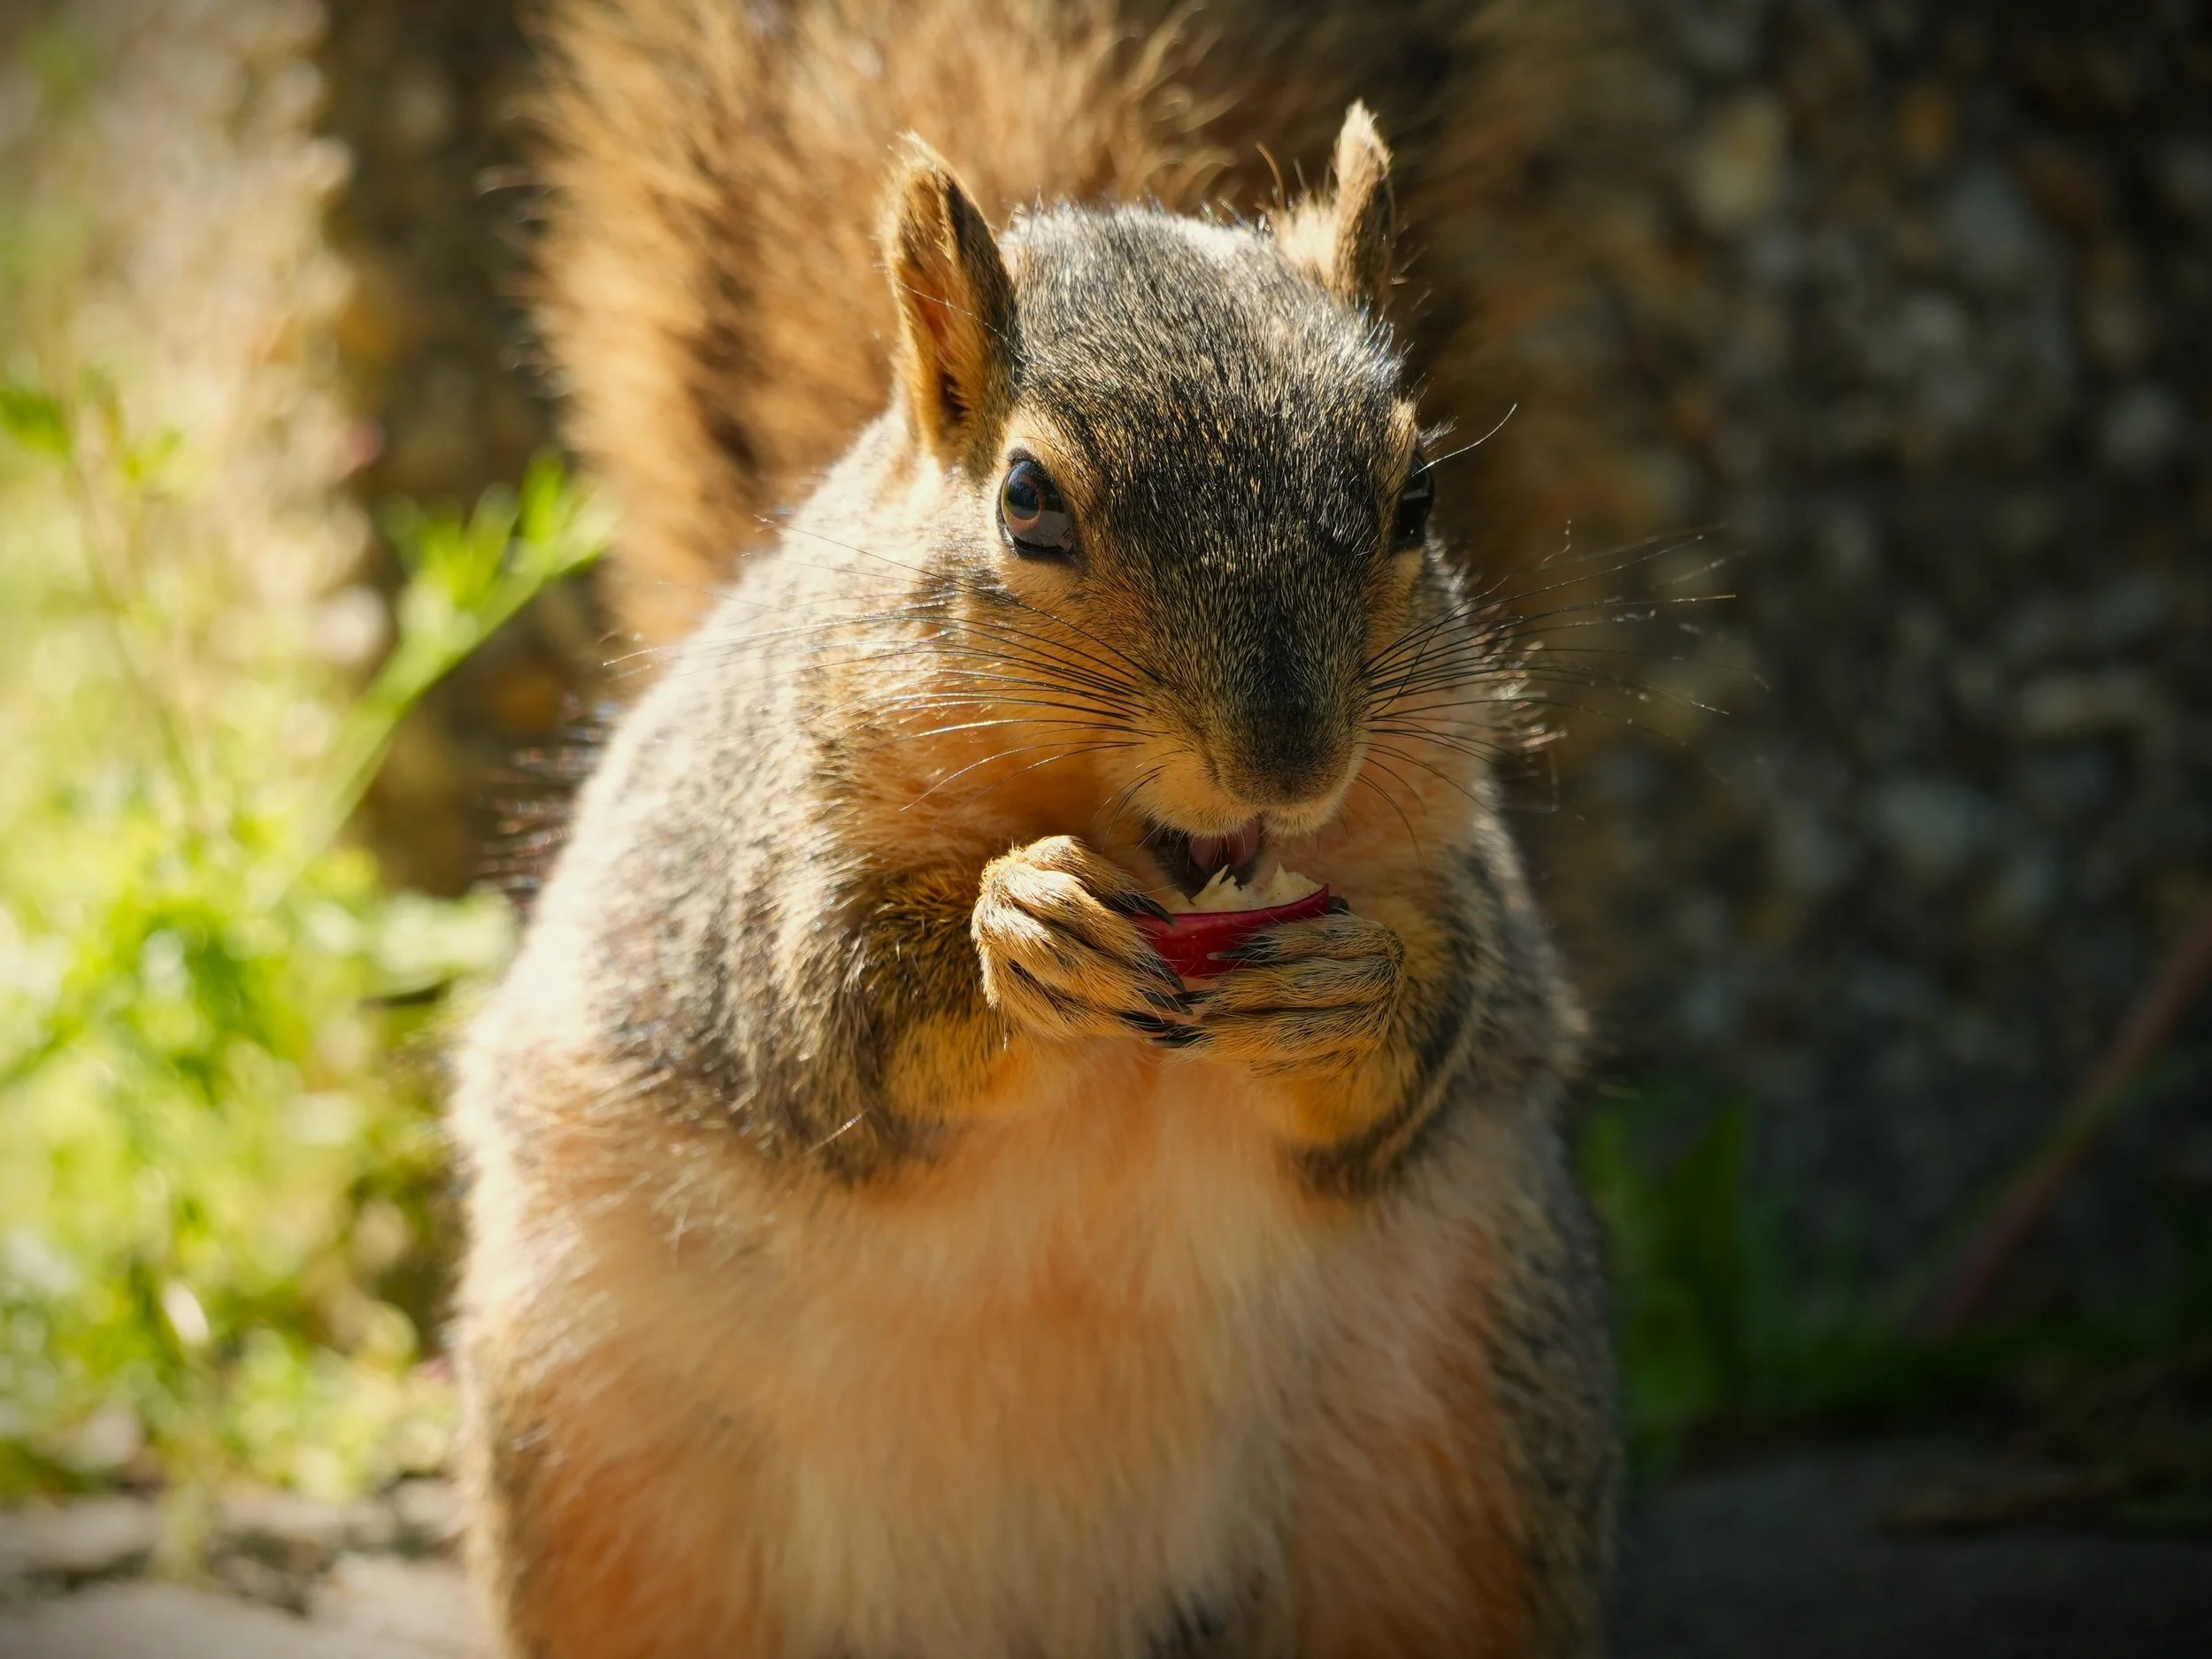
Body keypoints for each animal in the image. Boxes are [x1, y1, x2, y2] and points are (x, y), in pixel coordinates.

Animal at [454, 3, 1619, 1656]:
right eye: (1026, 501)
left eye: (1417, 497)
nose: (1287, 760)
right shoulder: (760, 880)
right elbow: (831, 1019)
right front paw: (1021, 930)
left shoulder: (1440, 863)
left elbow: (1418, 1037)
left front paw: (1349, 988)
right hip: (601, 1470)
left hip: (1466, 1463)